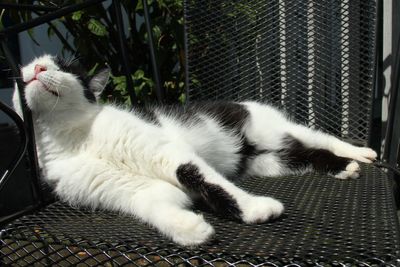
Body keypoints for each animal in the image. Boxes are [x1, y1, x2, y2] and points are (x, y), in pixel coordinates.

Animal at [11, 54, 376, 247]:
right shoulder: (126, 190)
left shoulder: (167, 153)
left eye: (62, 67)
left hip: (274, 127)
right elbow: (155, 204)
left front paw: (256, 209)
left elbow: (205, 179)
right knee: (307, 155)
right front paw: (190, 230)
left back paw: (361, 154)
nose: (39, 68)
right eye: (27, 67)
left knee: (320, 137)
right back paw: (344, 167)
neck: (72, 136)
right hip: (271, 160)